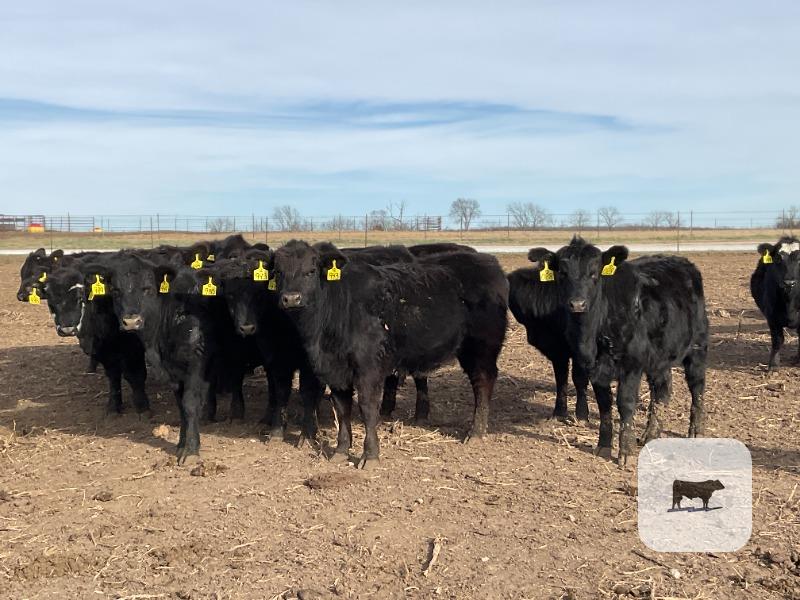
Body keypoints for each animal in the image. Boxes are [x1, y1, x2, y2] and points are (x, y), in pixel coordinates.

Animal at [43, 263, 150, 415]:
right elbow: (113, 375)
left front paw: (142, 406)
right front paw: (113, 406)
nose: (67, 330)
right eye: (50, 302)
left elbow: (135, 375)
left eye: (80, 298)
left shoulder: (134, 346)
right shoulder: (104, 351)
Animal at [272, 240, 508, 469]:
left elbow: (368, 408)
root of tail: (487, 261)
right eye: (278, 272)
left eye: (311, 271)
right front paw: (340, 451)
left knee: (482, 382)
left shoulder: (369, 369)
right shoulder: (336, 371)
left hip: (481, 347)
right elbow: (342, 409)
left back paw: (476, 432)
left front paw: (370, 456)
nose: (291, 298)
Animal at [547, 237, 708, 466]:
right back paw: (650, 434)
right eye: (562, 273)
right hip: (659, 357)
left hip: (697, 346)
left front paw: (626, 451)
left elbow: (625, 402)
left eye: (594, 273)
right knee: (662, 389)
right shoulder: (593, 367)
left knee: (697, 386)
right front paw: (604, 445)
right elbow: (604, 404)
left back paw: (695, 430)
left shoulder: (632, 364)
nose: (577, 304)